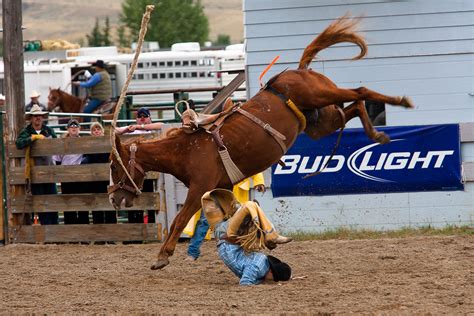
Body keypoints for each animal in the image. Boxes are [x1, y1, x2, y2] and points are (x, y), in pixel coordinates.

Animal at [109, 16, 412, 270]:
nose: (114, 198)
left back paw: (401, 102)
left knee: (360, 91)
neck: (183, 150)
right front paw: (269, 239)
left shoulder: (198, 188)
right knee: (356, 104)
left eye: (113, 165)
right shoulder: (221, 186)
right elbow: (230, 213)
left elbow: (179, 219)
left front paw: (162, 256)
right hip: (321, 122)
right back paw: (378, 135)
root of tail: (298, 70)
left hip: (321, 95)